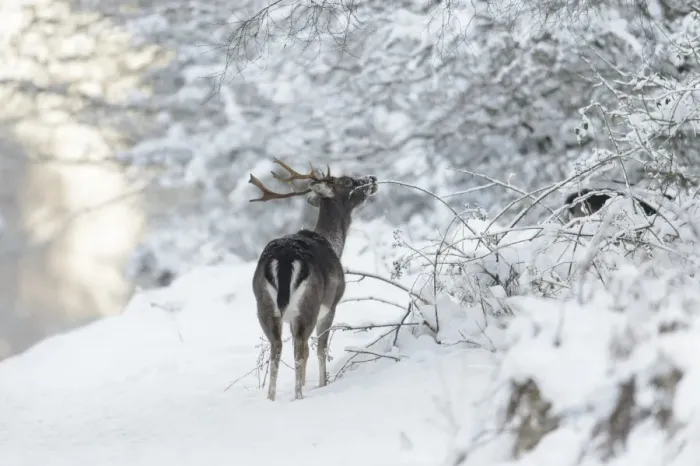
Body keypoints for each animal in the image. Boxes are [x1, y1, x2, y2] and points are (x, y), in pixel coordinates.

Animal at [248, 158, 378, 401]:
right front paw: (322, 384)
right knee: (301, 349)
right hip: (310, 302)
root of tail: (285, 259)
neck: (334, 243)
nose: (372, 178)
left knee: (276, 348)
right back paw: (299, 396)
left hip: (264, 305)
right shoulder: (331, 305)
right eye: (347, 181)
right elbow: (321, 349)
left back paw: (271, 398)